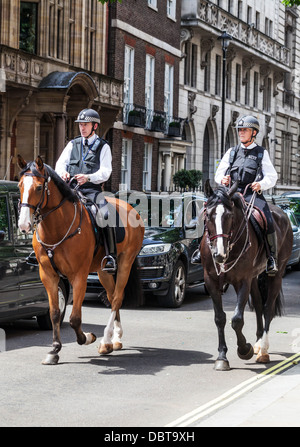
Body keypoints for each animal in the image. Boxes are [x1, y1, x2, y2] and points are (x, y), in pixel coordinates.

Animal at [17, 156, 145, 366]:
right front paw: (54, 350)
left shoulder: (78, 276)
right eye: (20, 185)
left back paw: (106, 341)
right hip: (102, 271)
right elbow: (54, 313)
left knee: (117, 298)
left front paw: (87, 337)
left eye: (38, 187)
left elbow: (75, 318)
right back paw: (115, 340)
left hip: (126, 261)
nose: (23, 225)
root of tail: (130, 208)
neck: (57, 228)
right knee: (112, 296)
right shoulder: (48, 276)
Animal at [200, 180, 292, 372]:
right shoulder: (211, 281)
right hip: (254, 277)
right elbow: (220, 318)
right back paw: (258, 343)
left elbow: (236, 320)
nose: (219, 255)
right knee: (258, 304)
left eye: (229, 216)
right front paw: (222, 357)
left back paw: (263, 350)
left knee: (267, 308)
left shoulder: (242, 281)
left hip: (277, 274)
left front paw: (244, 349)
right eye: (208, 214)